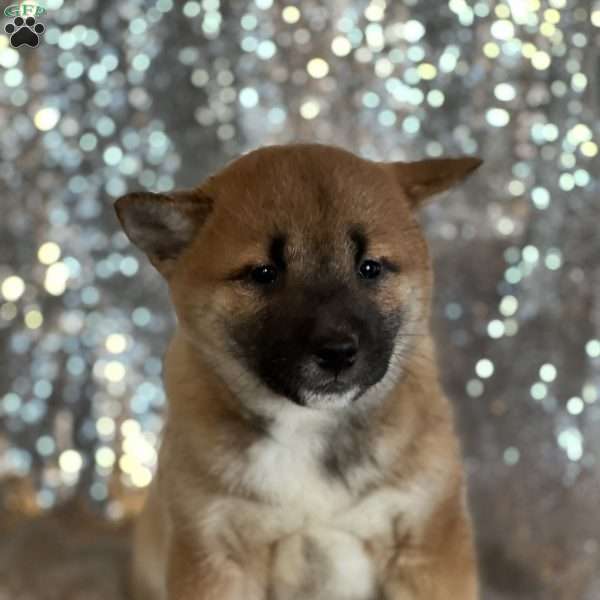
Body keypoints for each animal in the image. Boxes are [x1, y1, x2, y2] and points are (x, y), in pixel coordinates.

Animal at [116, 144, 482, 600]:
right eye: (263, 273)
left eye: (370, 268)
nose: (338, 352)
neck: (309, 426)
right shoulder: (213, 550)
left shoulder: (427, 543)